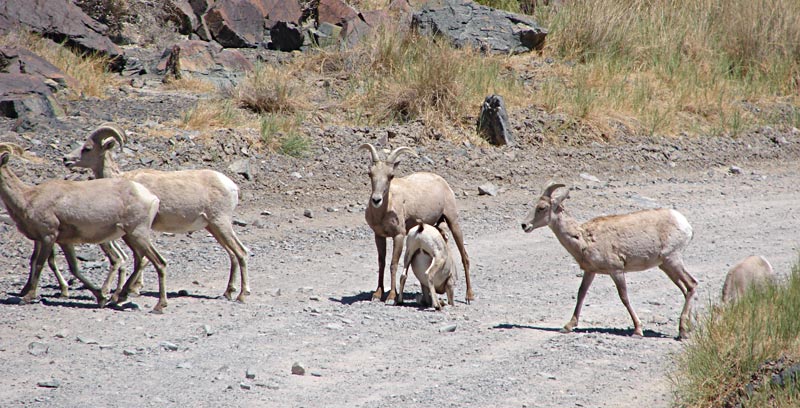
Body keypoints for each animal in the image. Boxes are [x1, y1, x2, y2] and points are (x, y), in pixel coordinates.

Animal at [0, 143, 169, 312]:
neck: (28, 198)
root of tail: (151, 198)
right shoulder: (64, 242)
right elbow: (74, 268)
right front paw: (101, 298)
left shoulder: (48, 237)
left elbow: (40, 264)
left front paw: (28, 297)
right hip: (130, 237)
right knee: (140, 261)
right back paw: (119, 297)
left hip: (137, 234)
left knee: (159, 262)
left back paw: (159, 305)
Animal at [63, 124, 249, 302]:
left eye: (87, 148)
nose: (66, 159)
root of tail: (231, 186)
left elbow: (141, 259)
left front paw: (132, 290)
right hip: (213, 227)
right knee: (233, 254)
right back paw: (228, 292)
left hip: (220, 223)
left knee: (241, 252)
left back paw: (241, 295)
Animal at [359, 143, 472, 305]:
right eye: (370, 174)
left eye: (391, 175)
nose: (376, 200)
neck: (384, 211)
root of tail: (442, 182)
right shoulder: (379, 236)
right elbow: (381, 263)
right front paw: (377, 294)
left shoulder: (399, 236)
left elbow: (393, 264)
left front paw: (391, 297)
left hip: (453, 222)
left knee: (465, 257)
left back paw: (469, 296)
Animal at [520, 182, 698, 339]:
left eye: (542, 207)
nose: (524, 225)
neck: (584, 238)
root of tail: (685, 224)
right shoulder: (590, 271)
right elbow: (581, 293)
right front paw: (568, 326)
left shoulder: (616, 270)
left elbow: (624, 297)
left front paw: (637, 331)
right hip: (665, 266)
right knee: (686, 289)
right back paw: (689, 328)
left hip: (672, 260)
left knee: (691, 285)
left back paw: (682, 333)